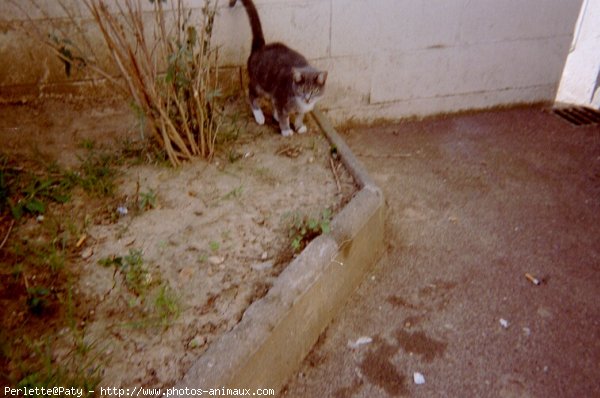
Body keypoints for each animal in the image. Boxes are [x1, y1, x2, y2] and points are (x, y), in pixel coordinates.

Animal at [229, 0, 328, 137]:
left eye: (315, 91)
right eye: (302, 89)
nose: (307, 99)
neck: (299, 102)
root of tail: (261, 48)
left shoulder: (295, 105)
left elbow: (299, 115)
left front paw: (299, 126)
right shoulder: (281, 97)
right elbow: (284, 116)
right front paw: (286, 130)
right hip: (260, 84)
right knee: (251, 94)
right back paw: (259, 116)